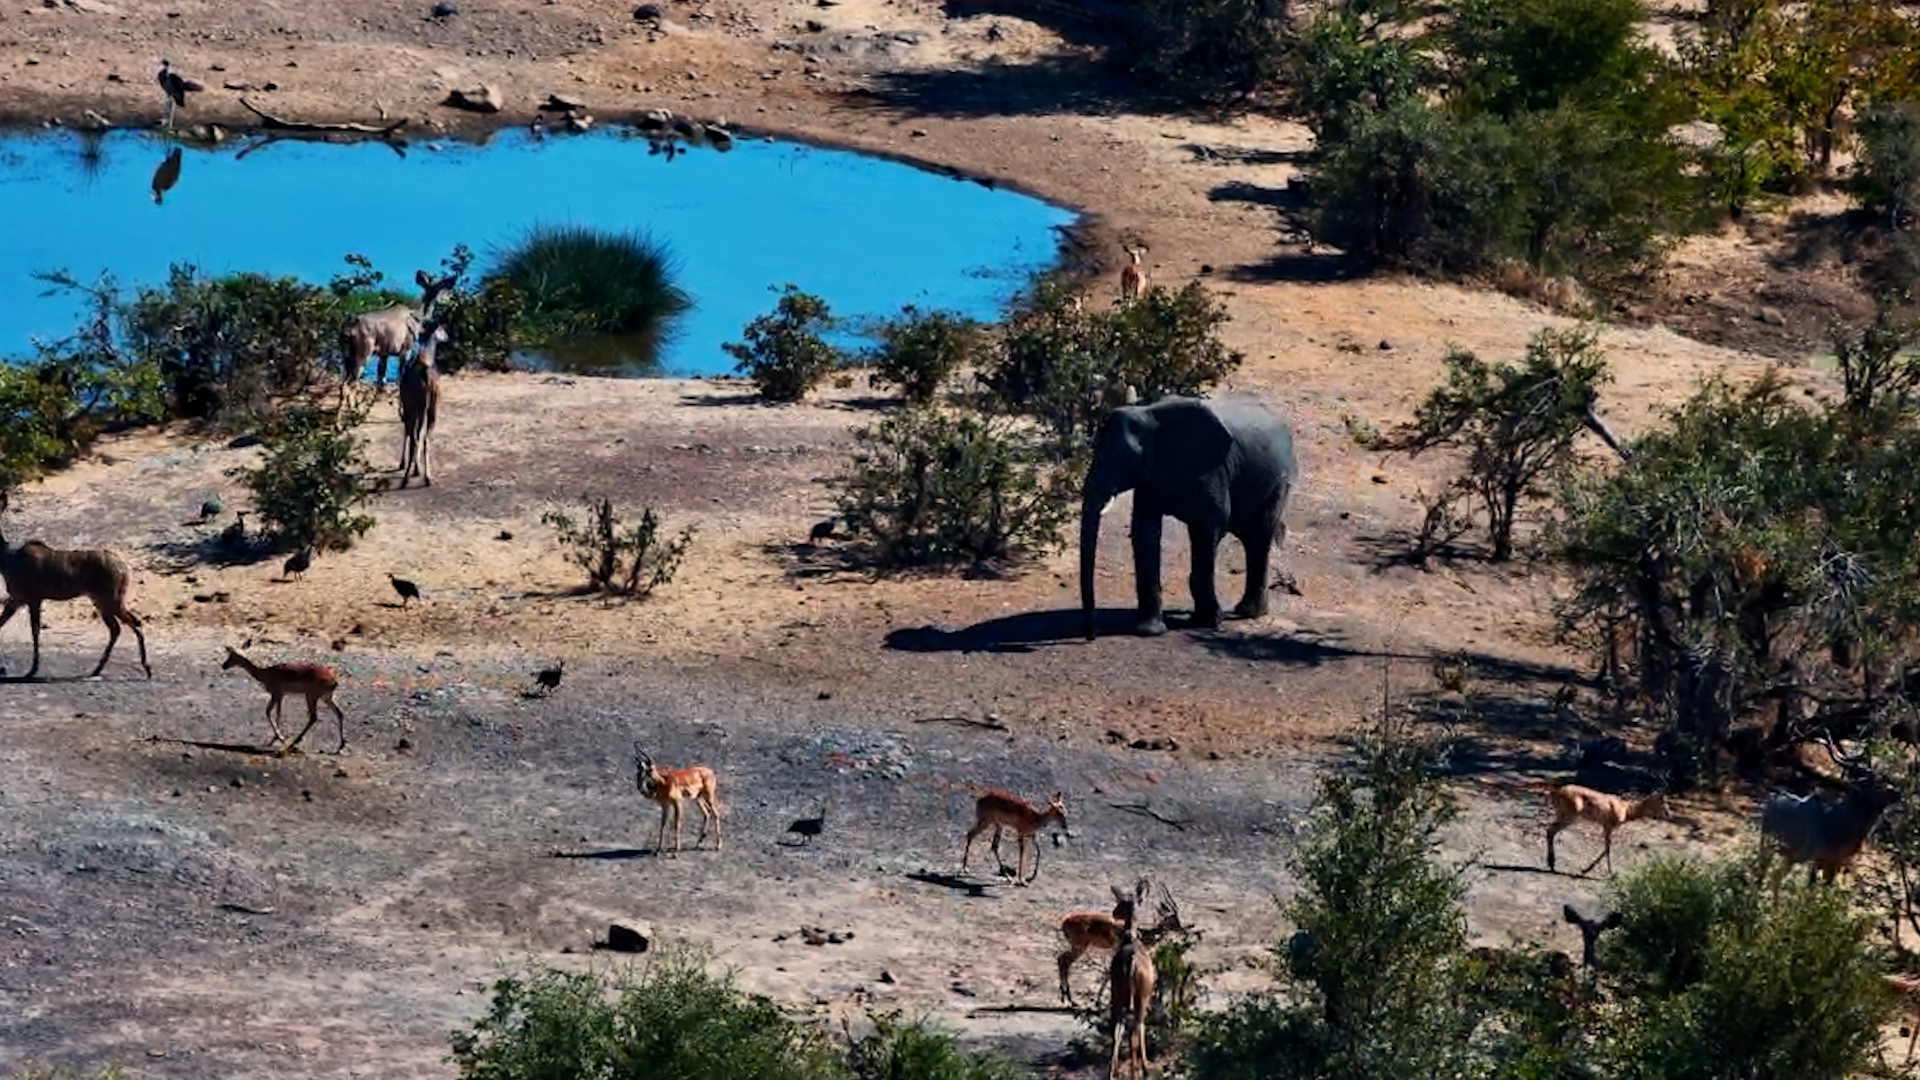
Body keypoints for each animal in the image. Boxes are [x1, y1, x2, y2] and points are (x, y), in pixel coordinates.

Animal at [1080, 396, 1297, 639]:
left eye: (1121, 458)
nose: (1091, 635)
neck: (1150, 415)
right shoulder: (1151, 474)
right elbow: (1145, 532)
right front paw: (1149, 631)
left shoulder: (1212, 470)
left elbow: (1208, 529)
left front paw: (1206, 622)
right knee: (1250, 538)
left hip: (1280, 481)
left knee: (1259, 537)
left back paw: (1249, 613)